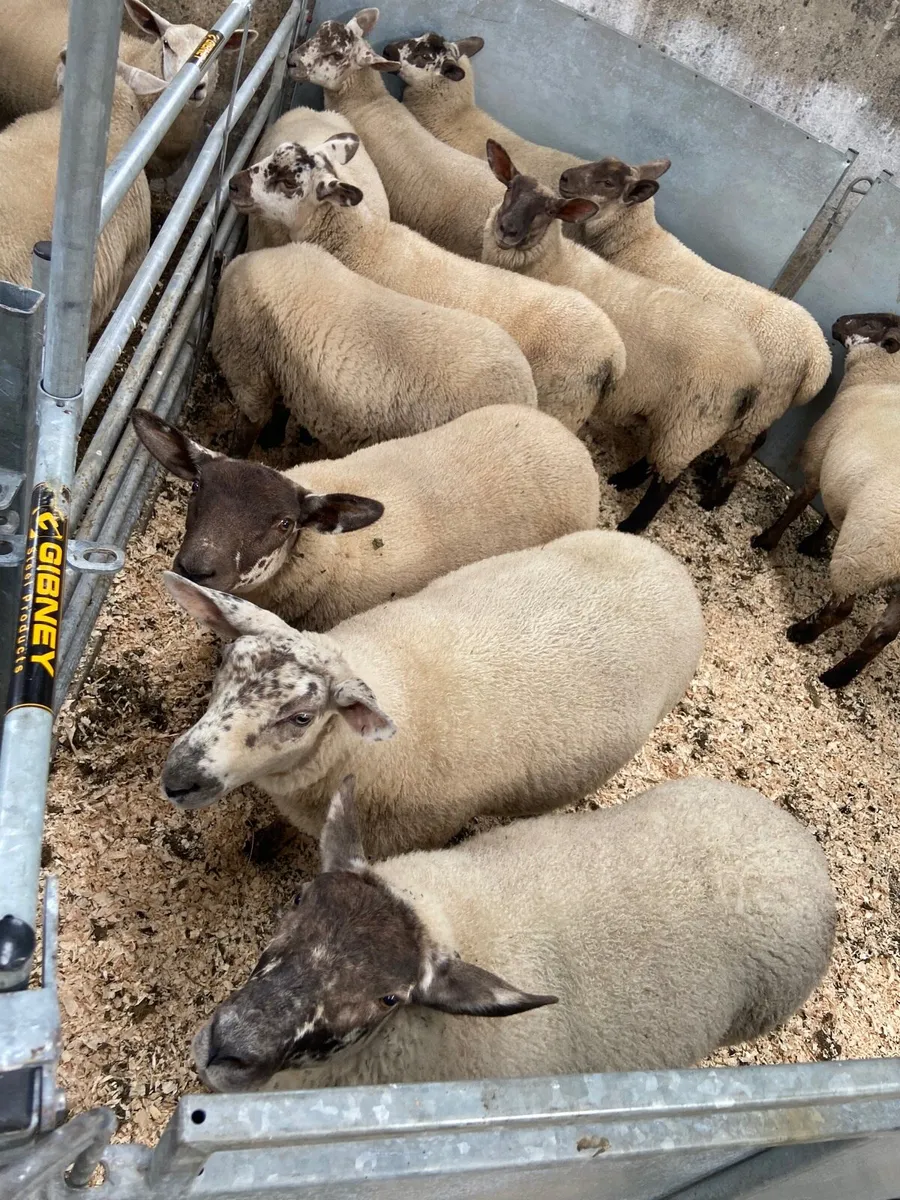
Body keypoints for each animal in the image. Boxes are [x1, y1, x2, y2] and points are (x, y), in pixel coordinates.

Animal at [208, 240, 538, 454]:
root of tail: (525, 394)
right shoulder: (282, 364)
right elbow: (280, 408)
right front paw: (272, 440)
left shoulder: (248, 362)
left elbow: (252, 420)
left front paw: (237, 454)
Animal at [482, 140, 765, 532]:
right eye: (509, 188)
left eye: (549, 212)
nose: (506, 230)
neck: (555, 262)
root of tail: (755, 375)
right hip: (676, 418)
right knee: (655, 459)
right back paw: (623, 479)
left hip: (694, 421)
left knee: (668, 480)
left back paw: (632, 524)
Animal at [556, 156, 832, 506]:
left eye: (607, 183)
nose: (564, 178)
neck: (636, 242)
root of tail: (819, 356)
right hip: (763, 407)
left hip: (758, 403)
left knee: (743, 448)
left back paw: (713, 497)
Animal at [752, 312, 900, 688]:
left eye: (872, 325)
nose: (839, 320)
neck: (881, 383)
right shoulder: (842, 475)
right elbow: (830, 516)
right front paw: (812, 542)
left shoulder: (819, 456)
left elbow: (800, 502)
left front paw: (767, 540)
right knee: (884, 633)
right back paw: (838, 676)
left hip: (864, 553)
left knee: (842, 608)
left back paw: (802, 632)